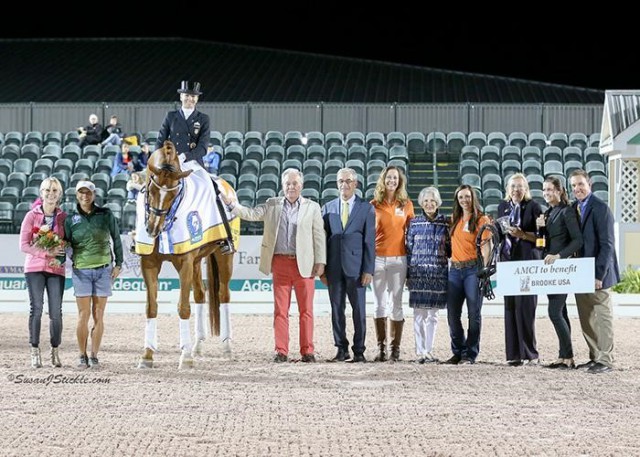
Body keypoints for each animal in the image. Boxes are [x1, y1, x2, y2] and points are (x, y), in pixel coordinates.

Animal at [135, 141, 238, 368]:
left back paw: (227, 347)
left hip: (223, 257)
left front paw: (186, 358)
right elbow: (151, 307)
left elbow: (183, 307)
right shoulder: (149, 263)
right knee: (200, 294)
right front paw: (147, 355)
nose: (153, 229)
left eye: (174, 194)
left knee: (223, 295)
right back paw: (197, 345)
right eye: (150, 189)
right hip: (197, 262)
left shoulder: (185, 262)